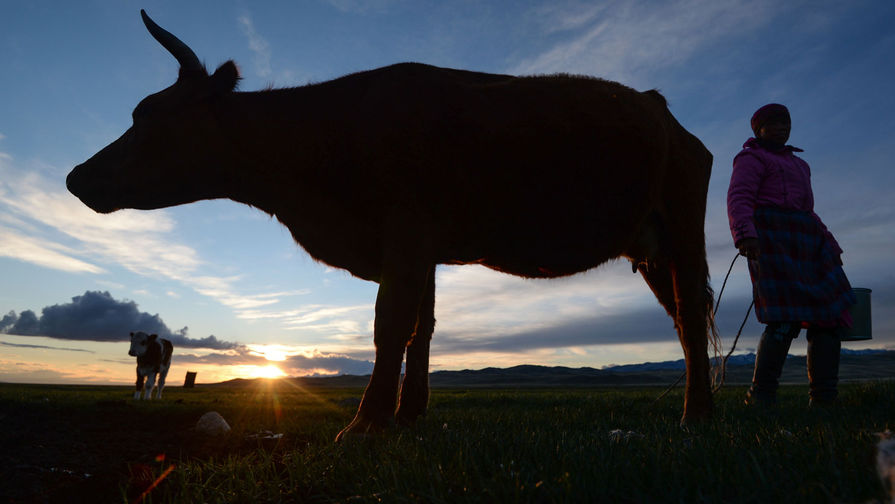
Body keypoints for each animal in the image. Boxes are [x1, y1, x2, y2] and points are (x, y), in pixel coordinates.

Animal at [65, 9, 720, 440]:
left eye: (147, 115)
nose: (74, 177)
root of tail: (660, 106)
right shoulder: (423, 250)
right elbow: (420, 331)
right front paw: (408, 416)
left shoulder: (406, 235)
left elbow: (389, 326)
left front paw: (366, 423)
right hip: (650, 247)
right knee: (684, 318)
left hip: (685, 228)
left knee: (691, 316)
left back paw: (697, 418)